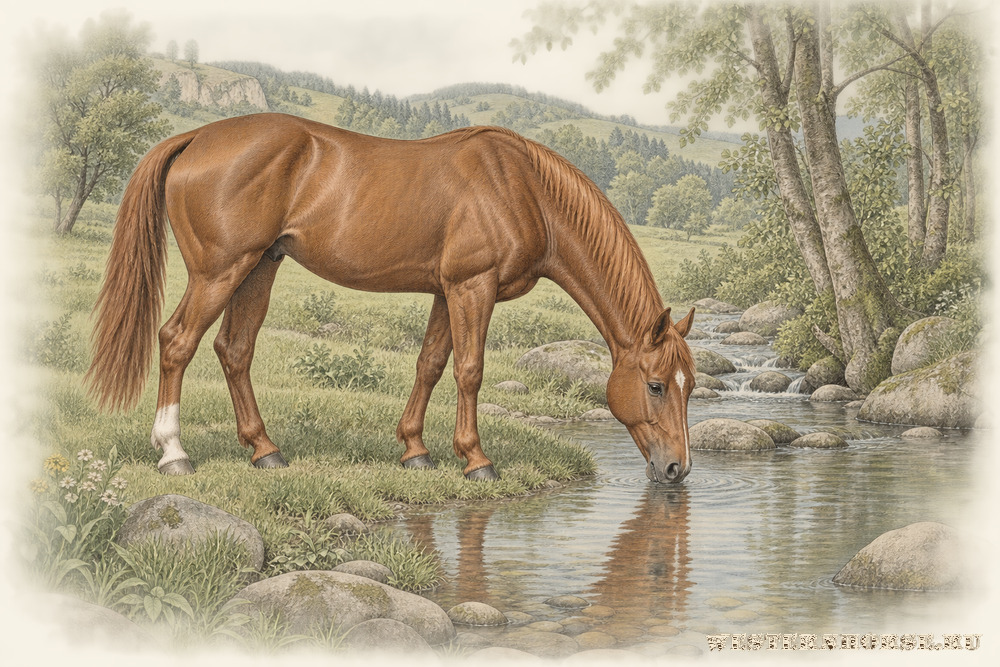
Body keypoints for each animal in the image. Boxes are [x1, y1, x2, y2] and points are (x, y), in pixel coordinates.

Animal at [86, 113, 696, 483]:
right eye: (656, 385)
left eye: (689, 387)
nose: (677, 470)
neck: (523, 188)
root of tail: (197, 137)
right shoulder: (473, 287)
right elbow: (470, 370)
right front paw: (476, 460)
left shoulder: (447, 292)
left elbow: (430, 364)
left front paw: (415, 451)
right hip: (219, 271)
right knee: (177, 342)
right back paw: (174, 453)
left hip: (258, 268)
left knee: (234, 351)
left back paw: (265, 451)